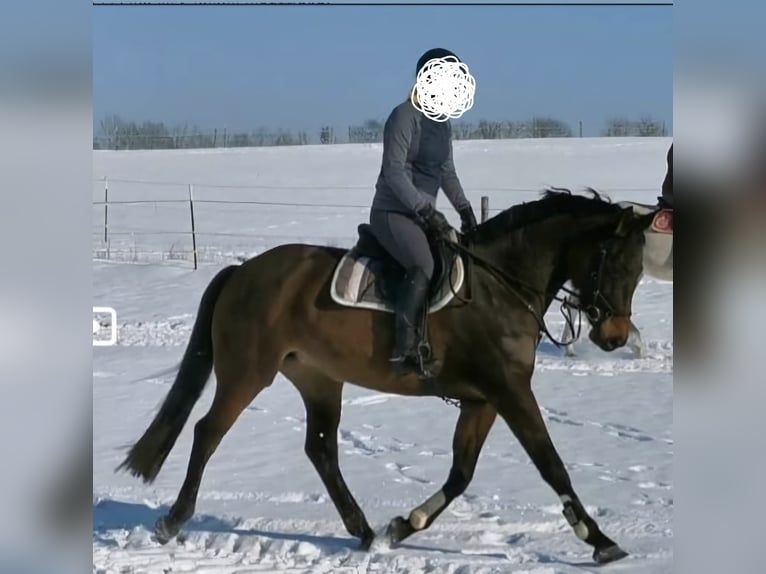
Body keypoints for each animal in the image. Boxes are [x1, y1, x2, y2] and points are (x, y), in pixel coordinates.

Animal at [116, 188, 657, 566]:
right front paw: (599, 539)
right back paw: (172, 522)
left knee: (320, 449)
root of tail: (242, 271)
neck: (499, 286)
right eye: (614, 264)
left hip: (318, 380)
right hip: (247, 374)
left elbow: (461, 474)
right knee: (207, 432)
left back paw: (364, 531)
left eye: (638, 271)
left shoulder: (483, 400)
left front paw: (403, 525)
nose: (614, 336)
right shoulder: (509, 391)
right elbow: (551, 464)